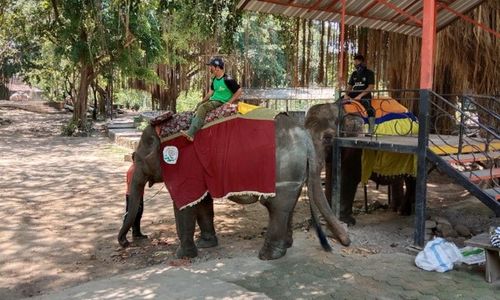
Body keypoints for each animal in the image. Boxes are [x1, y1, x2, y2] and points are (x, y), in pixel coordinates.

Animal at [117, 112, 352, 260]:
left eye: (138, 158)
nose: (125, 243)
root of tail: (305, 137)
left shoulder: (184, 167)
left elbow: (185, 205)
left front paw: (182, 256)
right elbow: (203, 203)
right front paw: (206, 245)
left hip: (283, 168)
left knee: (276, 206)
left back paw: (267, 256)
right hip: (295, 170)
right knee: (288, 205)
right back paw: (285, 247)